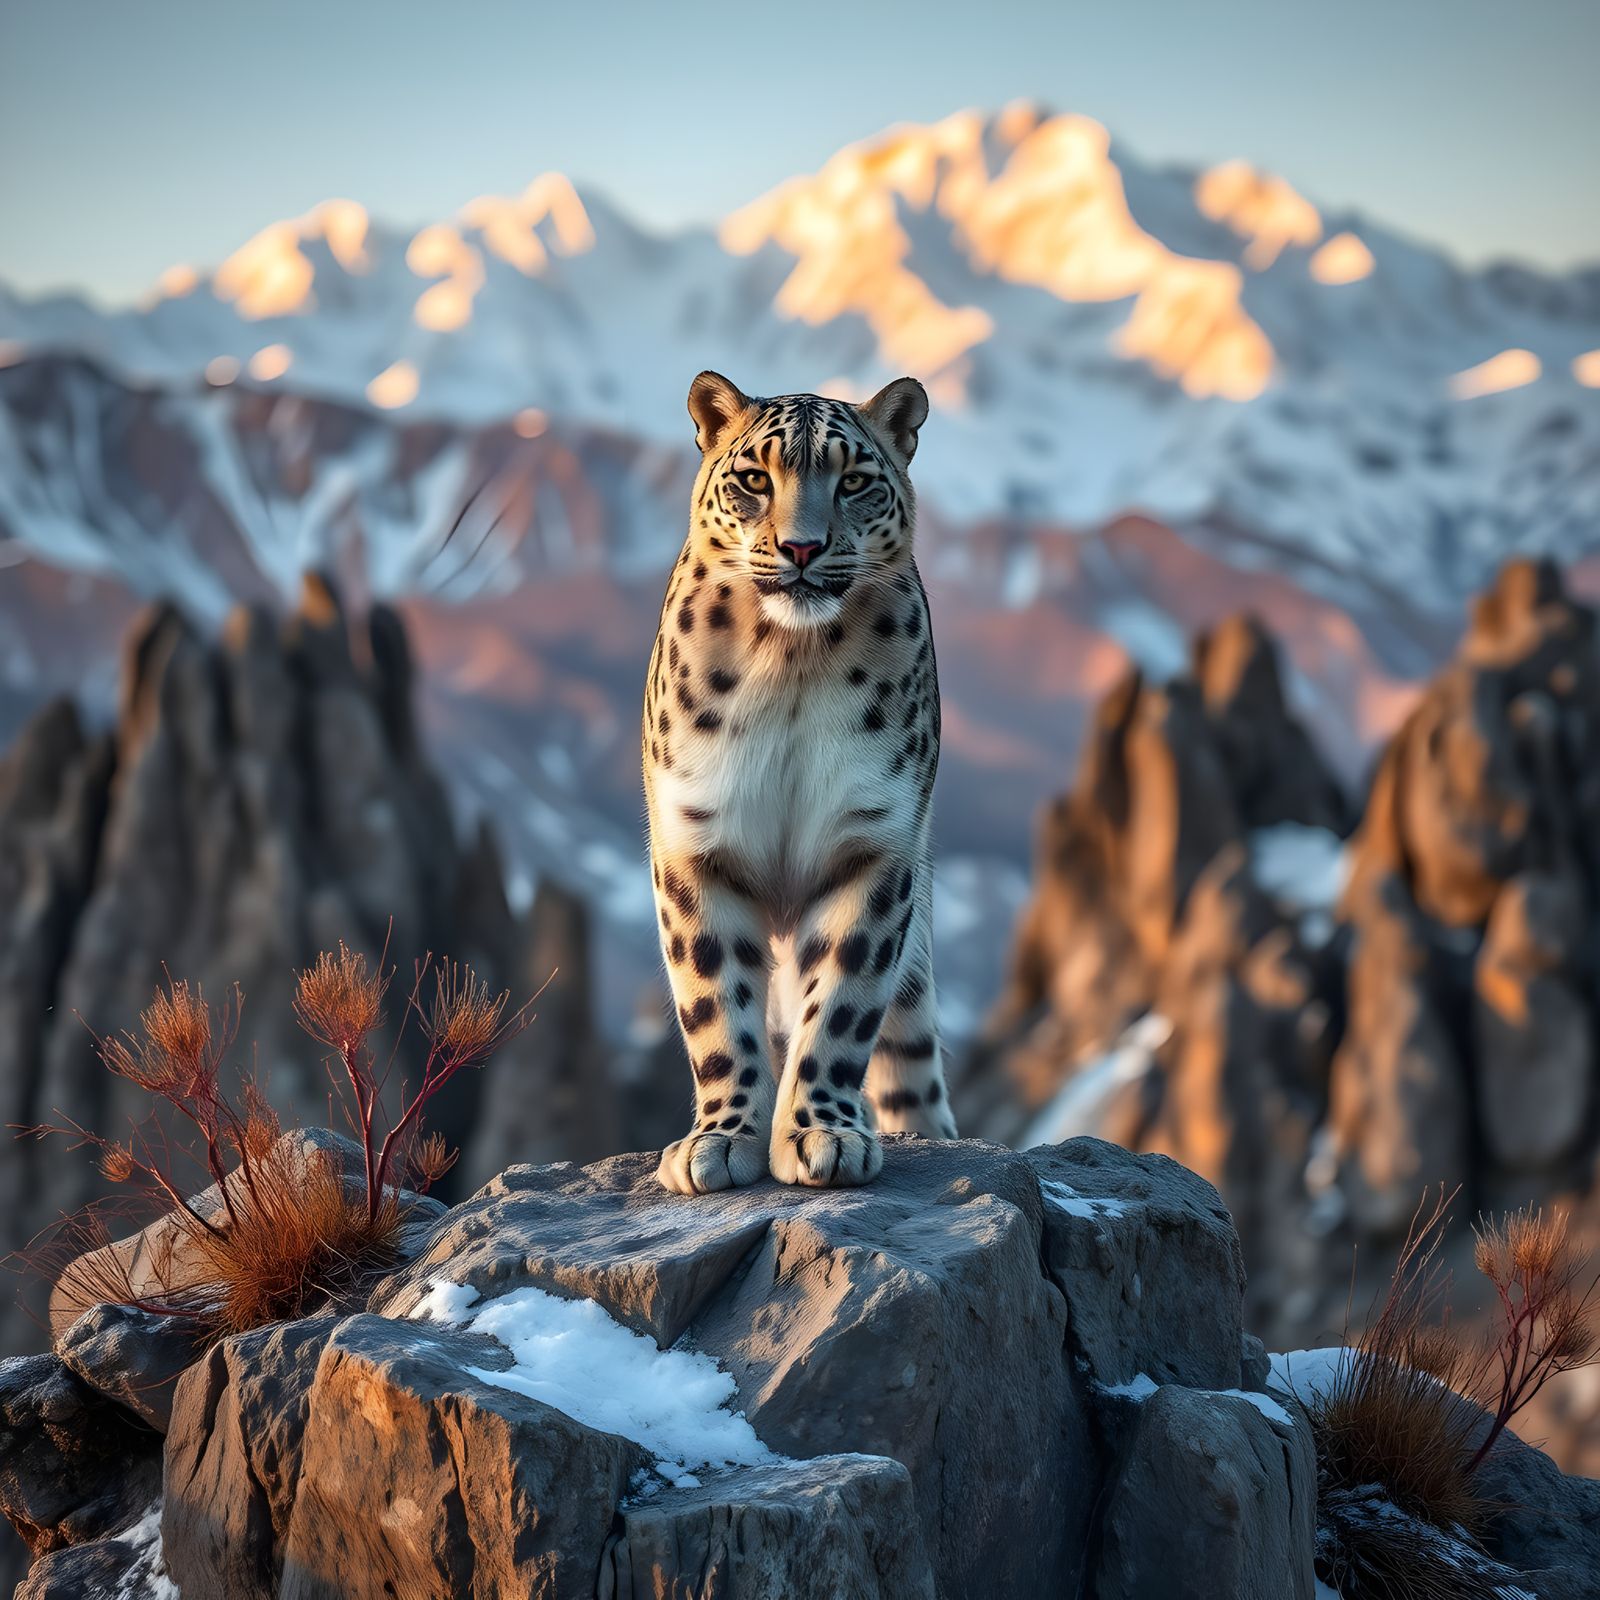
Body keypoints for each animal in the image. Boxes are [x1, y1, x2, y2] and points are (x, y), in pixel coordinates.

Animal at [643, 369, 956, 1196]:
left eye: (854, 481)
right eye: (755, 479)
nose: (802, 546)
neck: (790, 661)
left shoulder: (872, 841)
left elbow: (842, 1003)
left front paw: (822, 1134)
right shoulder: (698, 841)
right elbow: (715, 1003)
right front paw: (719, 1141)